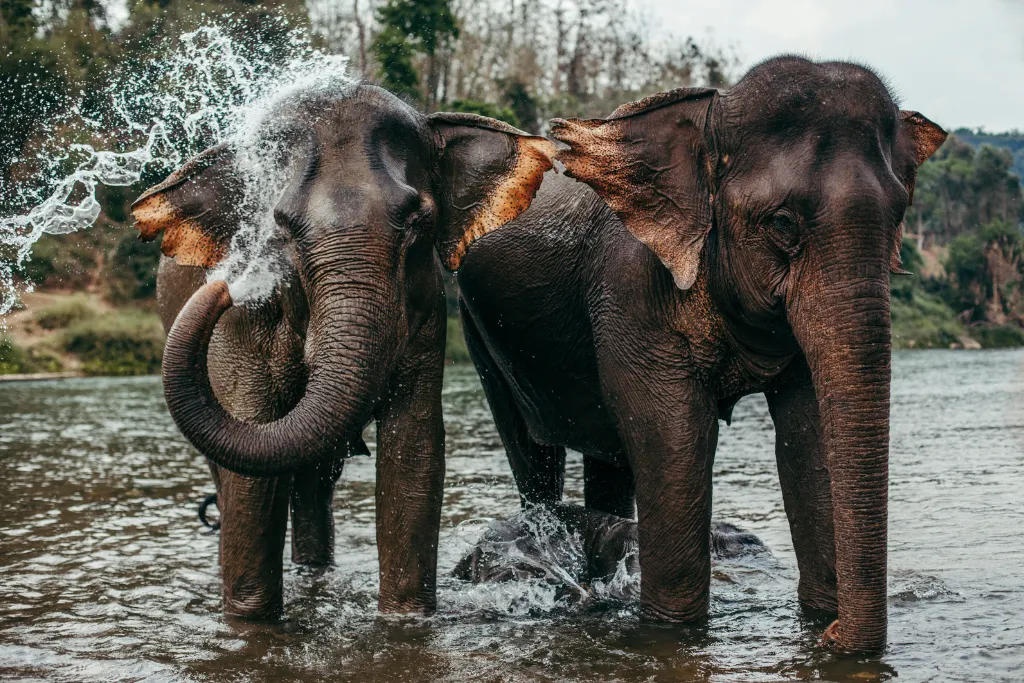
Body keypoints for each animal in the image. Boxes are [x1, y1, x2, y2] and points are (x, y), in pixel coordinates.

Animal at [131, 84, 556, 619]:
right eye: (280, 227)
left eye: (419, 221)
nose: (228, 285)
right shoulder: (240, 328)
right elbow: (251, 474)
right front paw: (249, 621)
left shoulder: (425, 310)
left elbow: (413, 454)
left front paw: (405, 620)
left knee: (314, 482)